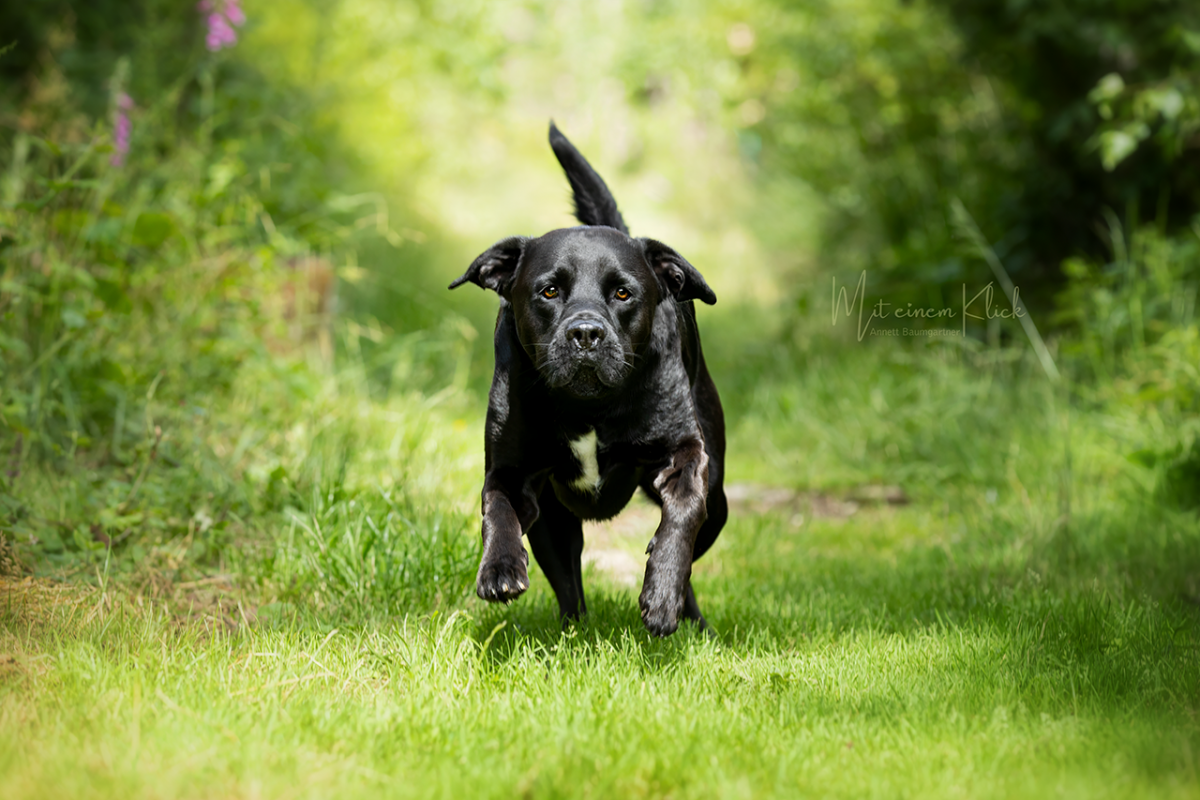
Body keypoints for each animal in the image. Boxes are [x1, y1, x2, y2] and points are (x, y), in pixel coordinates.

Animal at [451, 123, 724, 638]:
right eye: (549, 290)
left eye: (623, 293)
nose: (585, 333)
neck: (589, 407)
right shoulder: (511, 471)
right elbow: (497, 509)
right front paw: (498, 570)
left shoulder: (686, 454)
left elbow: (681, 515)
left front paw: (661, 595)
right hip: (555, 522)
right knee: (569, 586)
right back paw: (571, 635)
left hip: (718, 502)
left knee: (696, 542)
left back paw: (689, 616)